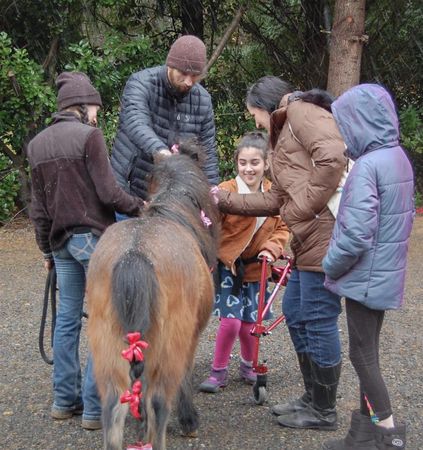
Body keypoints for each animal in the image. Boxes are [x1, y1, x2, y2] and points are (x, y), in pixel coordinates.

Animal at [85, 142, 219, 450]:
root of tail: (135, 254)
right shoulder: (189, 339)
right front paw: (189, 421)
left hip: (111, 351)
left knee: (115, 409)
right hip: (168, 348)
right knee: (157, 403)